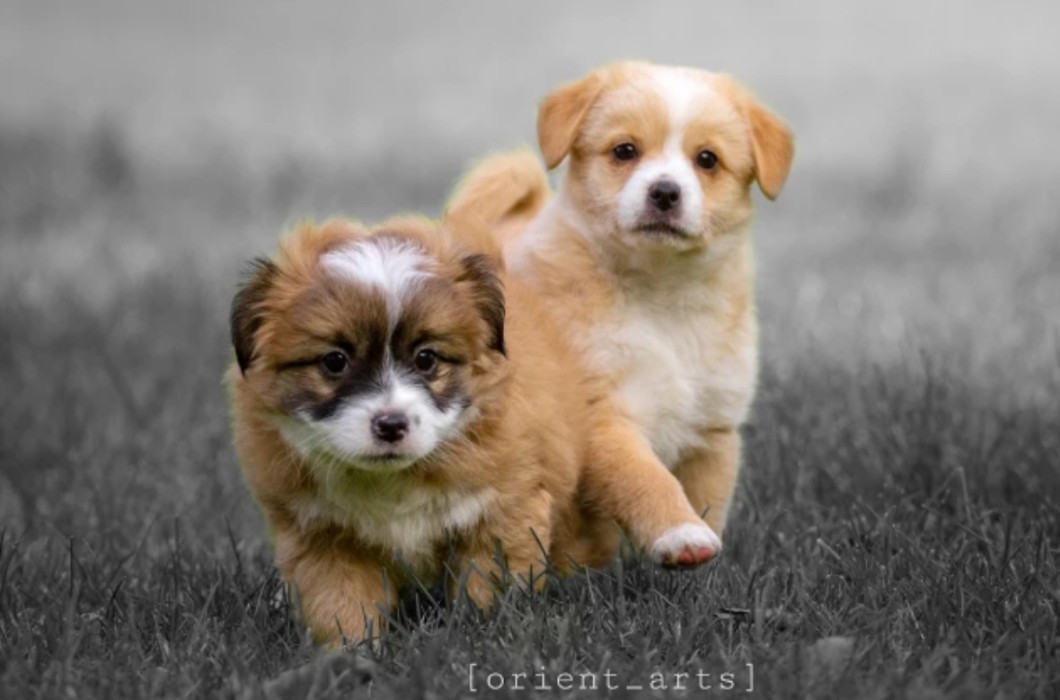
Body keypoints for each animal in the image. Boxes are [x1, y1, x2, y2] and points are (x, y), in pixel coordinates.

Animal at [226, 213, 714, 645]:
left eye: (426, 358)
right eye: (334, 361)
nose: (390, 424)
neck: (397, 479)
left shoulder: (504, 511)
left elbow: (487, 588)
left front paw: (481, 636)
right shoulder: (323, 536)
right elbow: (340, 604)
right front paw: (350, 658)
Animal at [449, 61, 794, 555]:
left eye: (707, 159)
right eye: (625, 151)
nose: (665, 192)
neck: (661, 298)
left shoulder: (712, 431)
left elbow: (709, 503)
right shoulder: (601, 416)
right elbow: (644, 478)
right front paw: (680, 533)